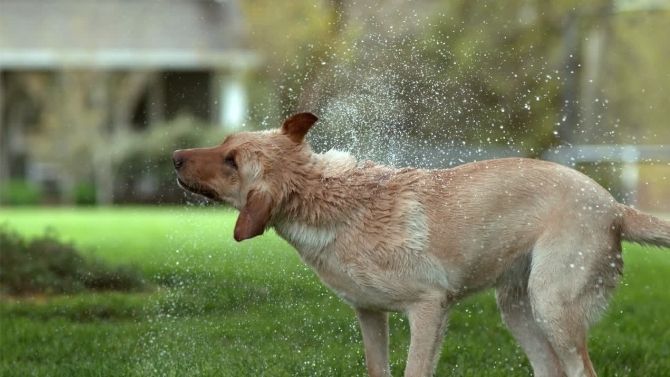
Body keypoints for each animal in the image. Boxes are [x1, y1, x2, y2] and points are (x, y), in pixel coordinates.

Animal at [175, 112, 670, 376]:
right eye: (224, 142)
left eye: (231, 161)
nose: (175, 156)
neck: (326, 199)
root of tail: (614, 206)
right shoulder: (369, 313)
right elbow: (378, 367)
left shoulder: (430, 307)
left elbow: (415, 368)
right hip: (518, 309)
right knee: (550, 369)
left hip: (552, 303)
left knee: (580, 369)